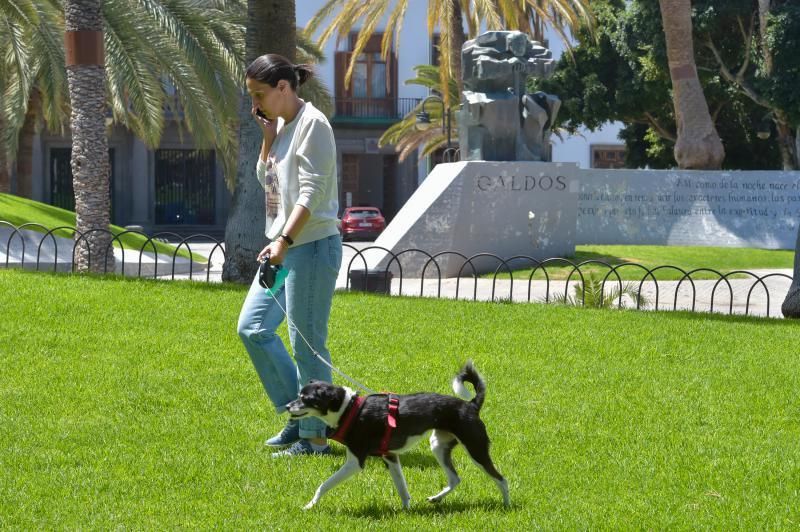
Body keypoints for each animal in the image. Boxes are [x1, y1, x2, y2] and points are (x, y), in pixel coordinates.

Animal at [284, 362, 510, 512]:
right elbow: (402, 488)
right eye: (298, 395)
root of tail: (471, 405)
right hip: (438, 445)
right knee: (455, 478)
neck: (349, 409)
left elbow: (324, 485)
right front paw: (406, 510)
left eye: (306, 399)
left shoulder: (355, 462)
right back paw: (436, 498)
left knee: (501, 479)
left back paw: (506, 505)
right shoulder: (390, 456)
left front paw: (310, 505)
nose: (287, 406)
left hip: (475, 448)